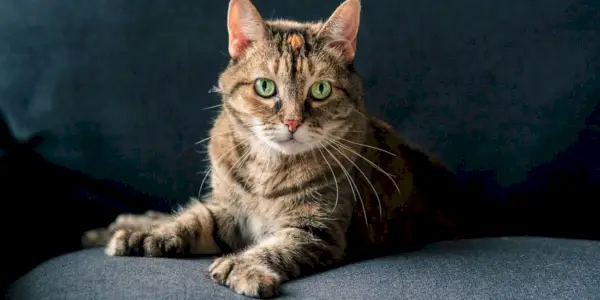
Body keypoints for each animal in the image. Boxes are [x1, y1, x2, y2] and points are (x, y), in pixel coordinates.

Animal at [82, 0, 462, 298]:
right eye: (265, 87)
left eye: (321, 89)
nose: (292, 122)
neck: (270, 168)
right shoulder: (227, 210)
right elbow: (192, 221)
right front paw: (146, 234)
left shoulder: (316, 229)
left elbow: (276, 248)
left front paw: (243, 267)